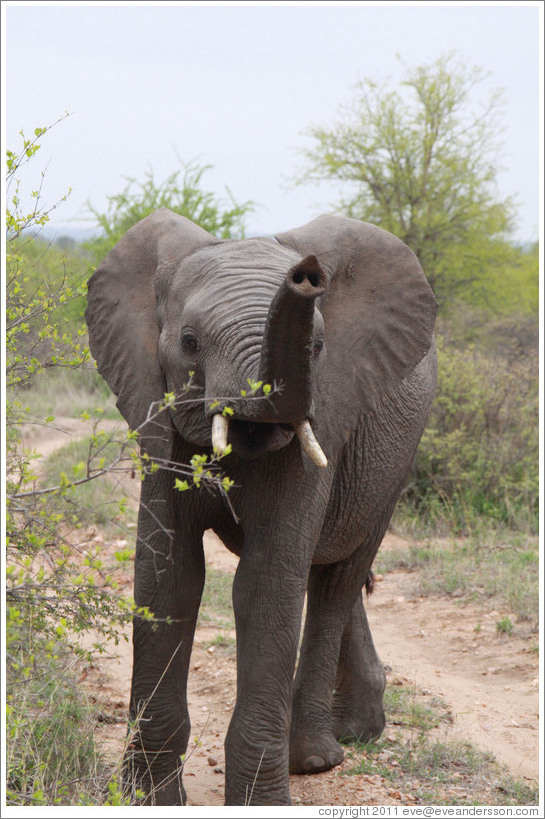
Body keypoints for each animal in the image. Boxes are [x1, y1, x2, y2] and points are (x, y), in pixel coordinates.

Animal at [85, 209, 438, 806]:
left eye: (316, 347)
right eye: (189, 343)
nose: (307, 276)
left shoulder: (327, 413)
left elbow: (266, 582)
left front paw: (260, 800)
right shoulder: (157, 414)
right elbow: (168, 576)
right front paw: (145, 799)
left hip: (395, 457)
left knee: (335, 580)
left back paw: (317, 757)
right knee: (330, 572)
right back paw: (356, 732)